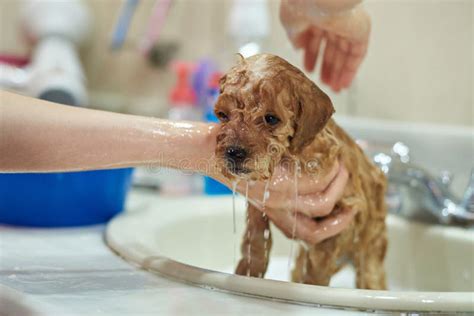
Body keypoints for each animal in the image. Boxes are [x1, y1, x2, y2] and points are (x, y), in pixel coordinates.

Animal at [215, 53, 388, 290]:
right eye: (223, 115)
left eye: (271, 118)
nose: (234, 152)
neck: (293, 157)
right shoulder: (259, 203)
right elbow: (256, 238)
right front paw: (248, 271)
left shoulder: (340, 218)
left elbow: (317, 269)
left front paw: (312, 287)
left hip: (370, 253)